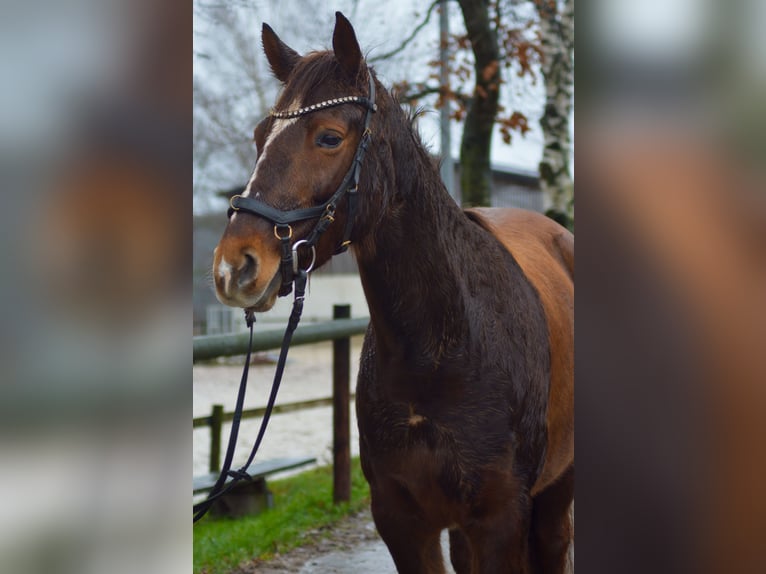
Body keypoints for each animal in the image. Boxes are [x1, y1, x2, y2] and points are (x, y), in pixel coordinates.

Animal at [213, 13, 572, 574]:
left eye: (329, 137)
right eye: (258, 137)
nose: (235, 266)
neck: (444, 346)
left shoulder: (502, 520)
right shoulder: (403, 523)